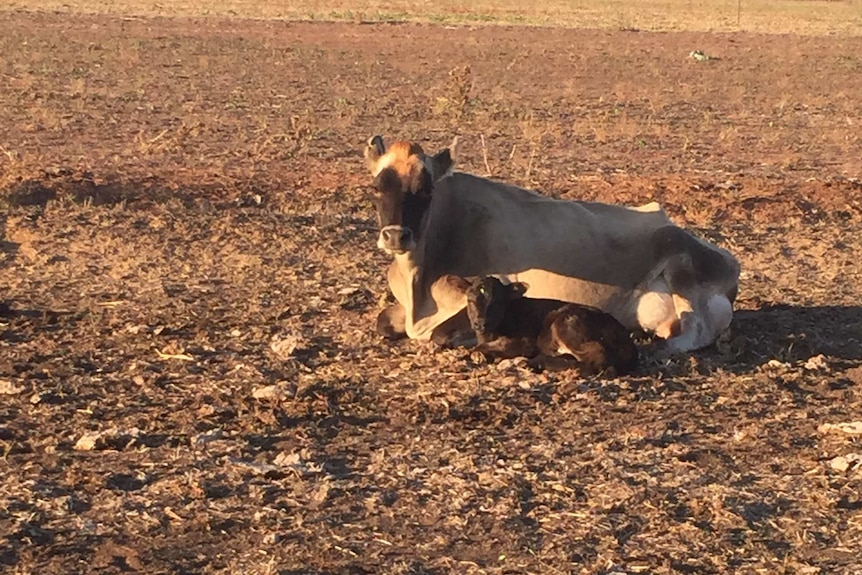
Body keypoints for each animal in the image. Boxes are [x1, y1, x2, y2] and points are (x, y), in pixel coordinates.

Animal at [364, 137, 744, 358]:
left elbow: (440, 335)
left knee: (692, 333)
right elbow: (384, 322)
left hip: (681, 264)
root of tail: (729, 261)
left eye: (427, 189)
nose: (396, 236)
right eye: (376, 187)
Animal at [466, 276, 640, 378]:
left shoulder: (525, 341)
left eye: (497, 302)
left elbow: (482, 347)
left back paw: (532, 363)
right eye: (470, 300)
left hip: (566, 323)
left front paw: (478, 355)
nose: (481, 323)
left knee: (596, 356)